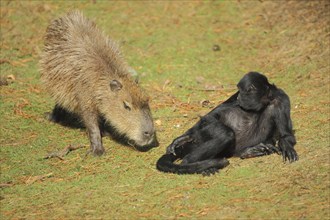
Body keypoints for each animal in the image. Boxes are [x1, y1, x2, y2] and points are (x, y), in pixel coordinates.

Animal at [157, 71, 300, 174]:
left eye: (242, 91)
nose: (239, 96)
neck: (263, 101)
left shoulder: (281, 98)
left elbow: (287, 135)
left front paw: (286, 145)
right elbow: (211, 116)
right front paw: (182, 138)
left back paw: (248, 152)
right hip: (201, 138)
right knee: (225, 133)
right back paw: (189, 160)